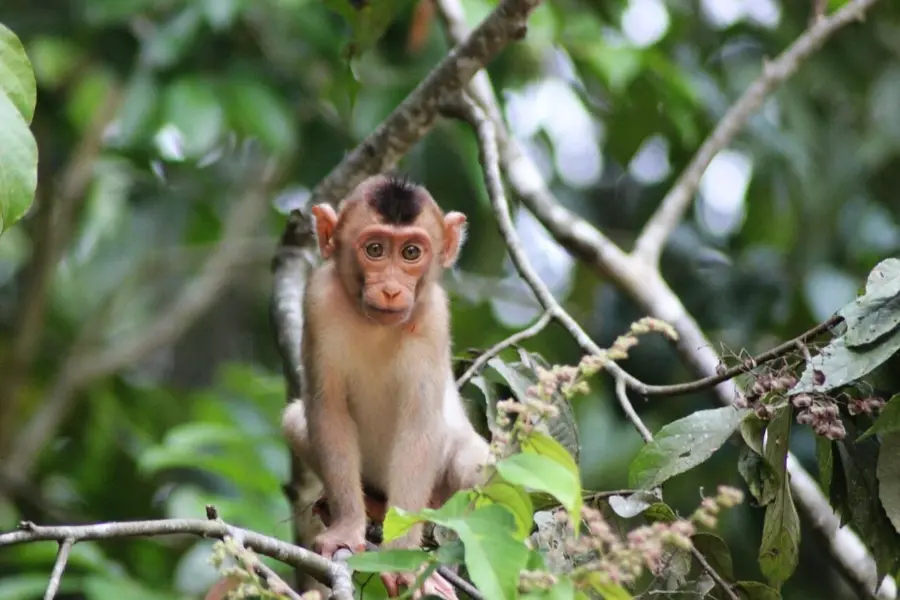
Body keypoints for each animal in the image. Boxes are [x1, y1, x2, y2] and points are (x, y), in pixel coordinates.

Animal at [281, 174, 492, 599]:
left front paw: (404, 559)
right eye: (375, 250)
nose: (392, 289)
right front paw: (347, 527)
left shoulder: (433, 318)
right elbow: (327, 409)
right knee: (295, 421)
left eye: (411, 252)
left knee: (476, 466)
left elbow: (420, 427)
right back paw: (371, 506)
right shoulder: (318, 299)